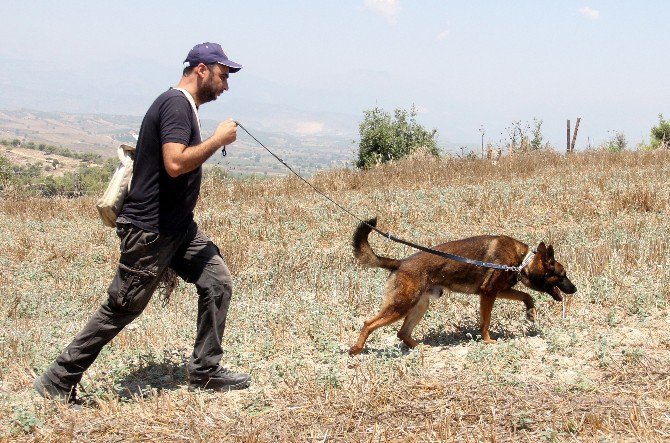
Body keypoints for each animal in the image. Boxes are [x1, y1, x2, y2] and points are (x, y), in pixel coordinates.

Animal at [352, 219, 576, 358]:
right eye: (563, 275)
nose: (574, 289)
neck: (523, 262)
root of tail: (399, 263)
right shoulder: (488, 294)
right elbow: (485, 322)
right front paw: (487, 341)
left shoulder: (498, 290)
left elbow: (526, 295)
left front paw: (530, 311)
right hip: (400, 306)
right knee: (368, 324)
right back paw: (356, 349)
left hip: (419, 306)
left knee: (402, 333)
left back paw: (422, 348)